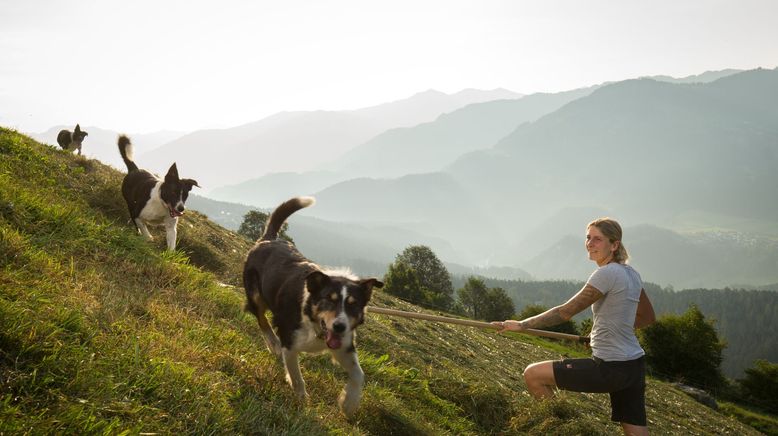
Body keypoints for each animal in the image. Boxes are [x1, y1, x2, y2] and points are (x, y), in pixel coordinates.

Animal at [242, 197, 382, 416]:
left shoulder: (344, 345)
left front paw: (349, 403)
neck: (314, 324)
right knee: (260, 317)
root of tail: (269, 239)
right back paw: (272, 343)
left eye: (353, 305)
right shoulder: (289, 341)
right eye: (329, 299)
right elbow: (297, 376)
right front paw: (301, 400)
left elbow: (358, 374)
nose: (339, 326)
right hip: (255, 293)